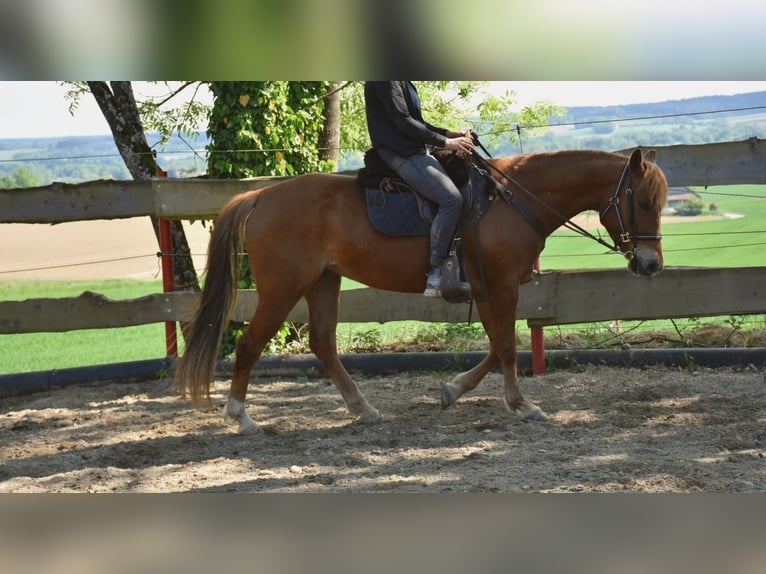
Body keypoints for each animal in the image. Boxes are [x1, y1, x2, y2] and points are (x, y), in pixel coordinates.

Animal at [175, 148, 668, 434]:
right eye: (643, 202)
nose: (651, 265)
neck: (511, 201)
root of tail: (260, 197)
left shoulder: (488, 289)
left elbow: (498, 345)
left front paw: (454, 390)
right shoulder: (501, 286)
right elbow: (508, 346)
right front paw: (521, 405)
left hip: (322, 283)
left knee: (323, 344)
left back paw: (362, 408)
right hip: (283, 287)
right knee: (250, 344)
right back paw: (241, 416)